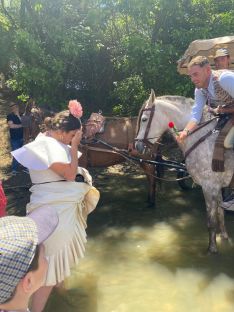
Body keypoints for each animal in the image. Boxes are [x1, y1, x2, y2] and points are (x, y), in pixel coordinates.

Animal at [135, 89, 234, 254]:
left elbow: (211, 220)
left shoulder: (209, 186)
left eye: (144, 119)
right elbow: (220, 214)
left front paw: (212, 249)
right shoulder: (217, 186)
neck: (201, 135)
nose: (137, 146)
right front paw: (224, 239)